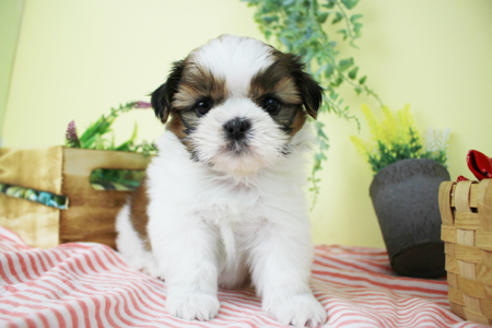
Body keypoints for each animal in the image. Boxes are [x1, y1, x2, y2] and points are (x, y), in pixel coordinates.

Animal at [116, 34, 326, 326]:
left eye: (271, 104)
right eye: (203, 105)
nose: (236, 124)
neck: (233, 178)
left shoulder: (280, 222)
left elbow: (284, 266)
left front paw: (295, 303)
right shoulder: (187, 220)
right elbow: (193, 263)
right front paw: (192, 299)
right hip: (127, 227)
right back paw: (153, 265)